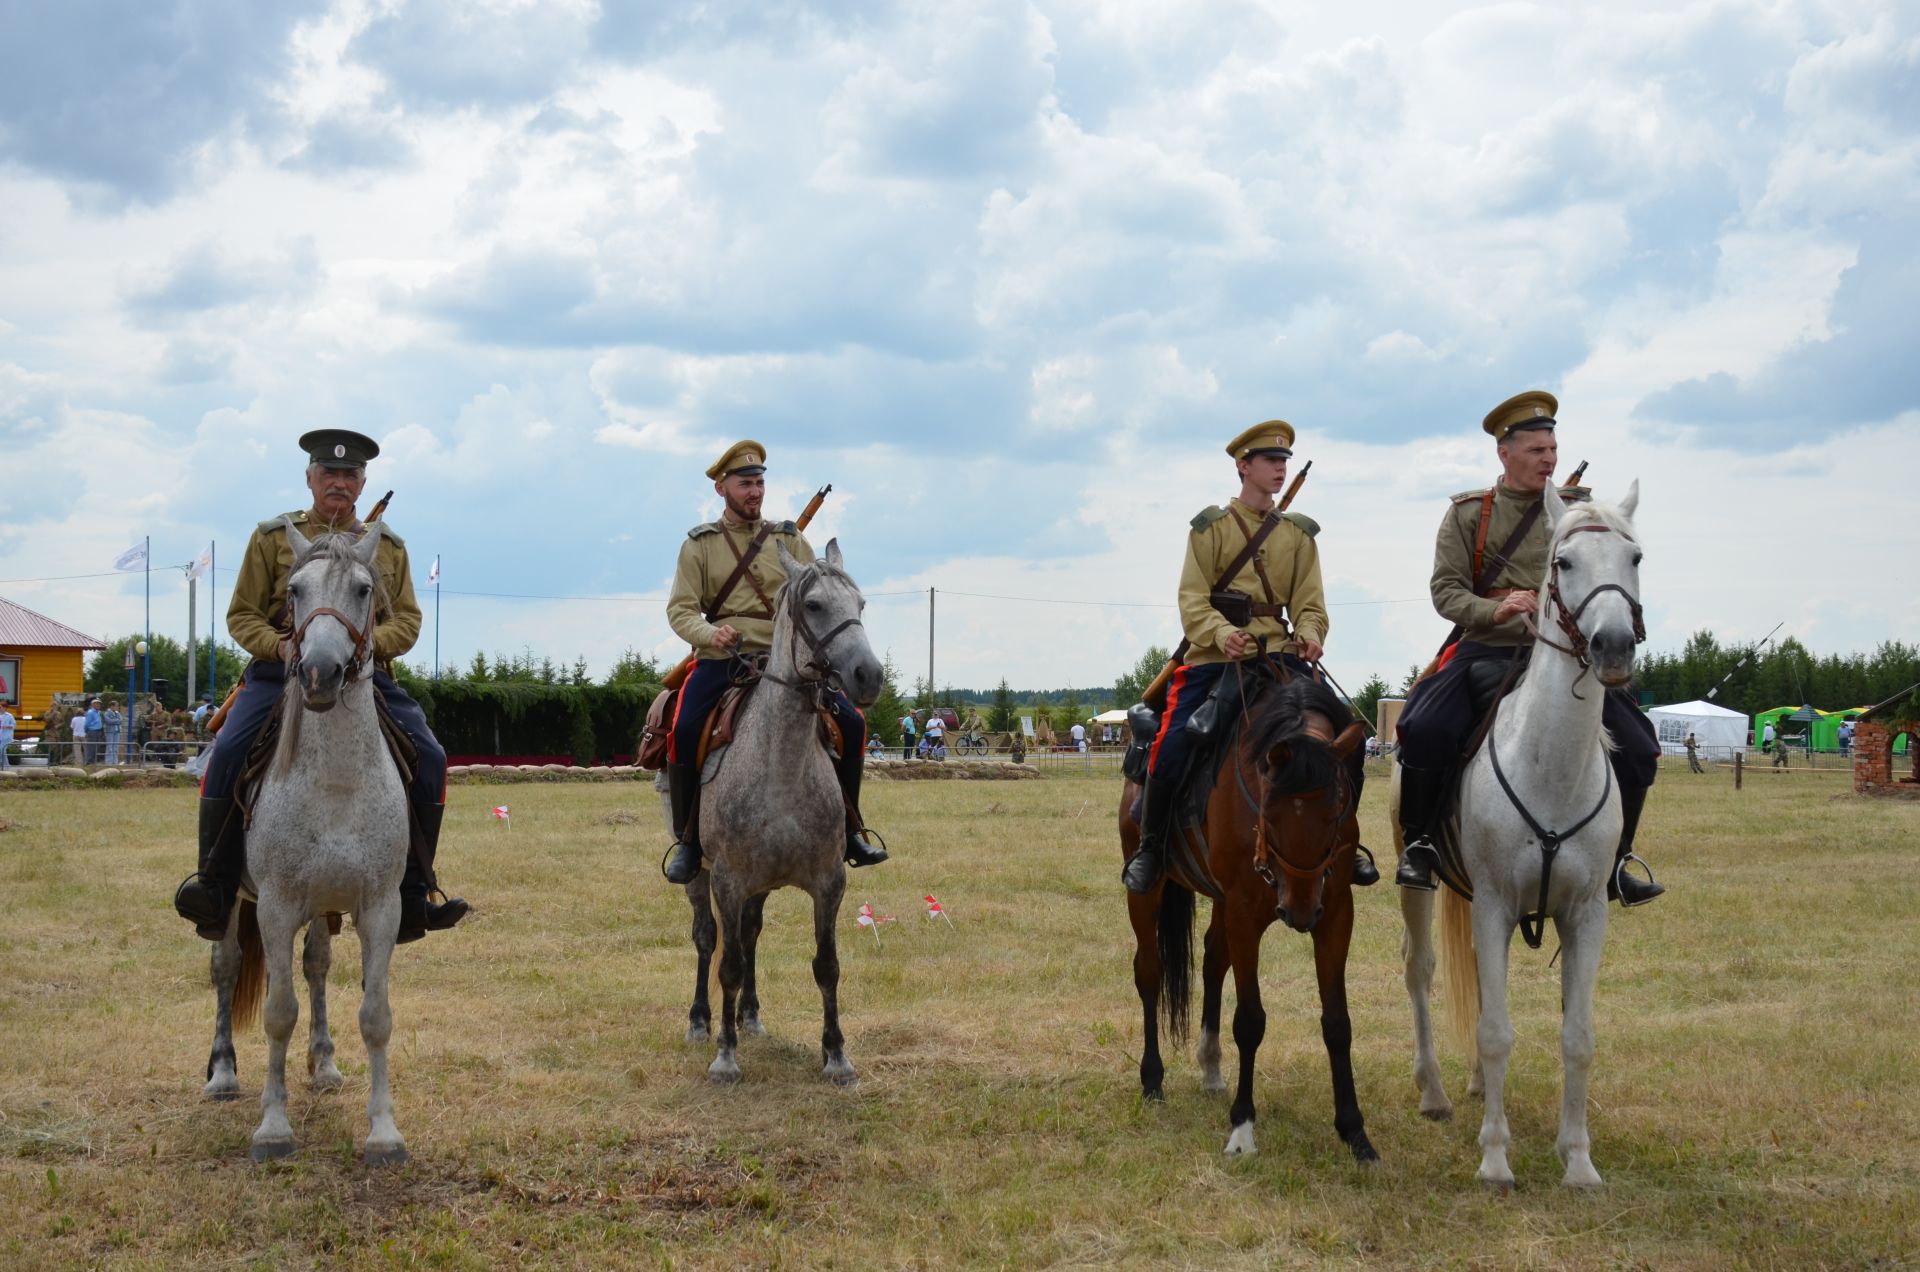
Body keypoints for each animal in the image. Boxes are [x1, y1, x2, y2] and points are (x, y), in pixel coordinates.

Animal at [202, 522, 412, 1168]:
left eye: (365, 589)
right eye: (295, 590)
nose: (320, 673)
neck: (337, 783)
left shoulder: (381, 908)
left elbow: (376, 1015)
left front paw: (384, 1133)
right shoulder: (273, 906)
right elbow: (277, 1013)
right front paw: (273, 1128)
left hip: (323, 905)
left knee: (316, 966)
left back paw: (323, 1064)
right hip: (233, 904)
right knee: (226, 968)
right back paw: (222, 1074)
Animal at [691, 538, 883, 1083]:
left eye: (861, 605)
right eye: (813, 605)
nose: (869, 675)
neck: (780, 766)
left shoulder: (828, 883)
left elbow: (826, 966)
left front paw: (836, 1055)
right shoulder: (727, 880)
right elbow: (728, 964)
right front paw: (725, 1056)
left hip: (759, 887)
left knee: (750, 935)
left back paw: (750, 1015)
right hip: (701, 876)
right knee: (708, 939)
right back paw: (702, 1020)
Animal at [1121, 676, 1374, 1168]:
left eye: (1337, 808)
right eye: (1269, 811)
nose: (1298, 911)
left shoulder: (1335, 913)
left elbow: (1338, 1023)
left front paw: (1355, 1132)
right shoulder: (1244, 912)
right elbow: (1250, 1021)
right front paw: (1242, 1128)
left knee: (1213, 960)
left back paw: (1211, 1066)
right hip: (1146, 892)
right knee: (1150, 973)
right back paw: (1153, 1080)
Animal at [1397, 484, 1651, 1191]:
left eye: (1635, 557)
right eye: (1563, 562)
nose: (1613, 645)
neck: (1551, 765)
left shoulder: (1586, 913)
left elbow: (1577, 1037)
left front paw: (1579, 1161)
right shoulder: (1493, 904)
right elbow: (1495, 1032)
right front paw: (1495, 1158)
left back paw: (1481, 1089)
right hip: (1420, 885)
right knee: (1420, 970)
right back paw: (1435, 1092)